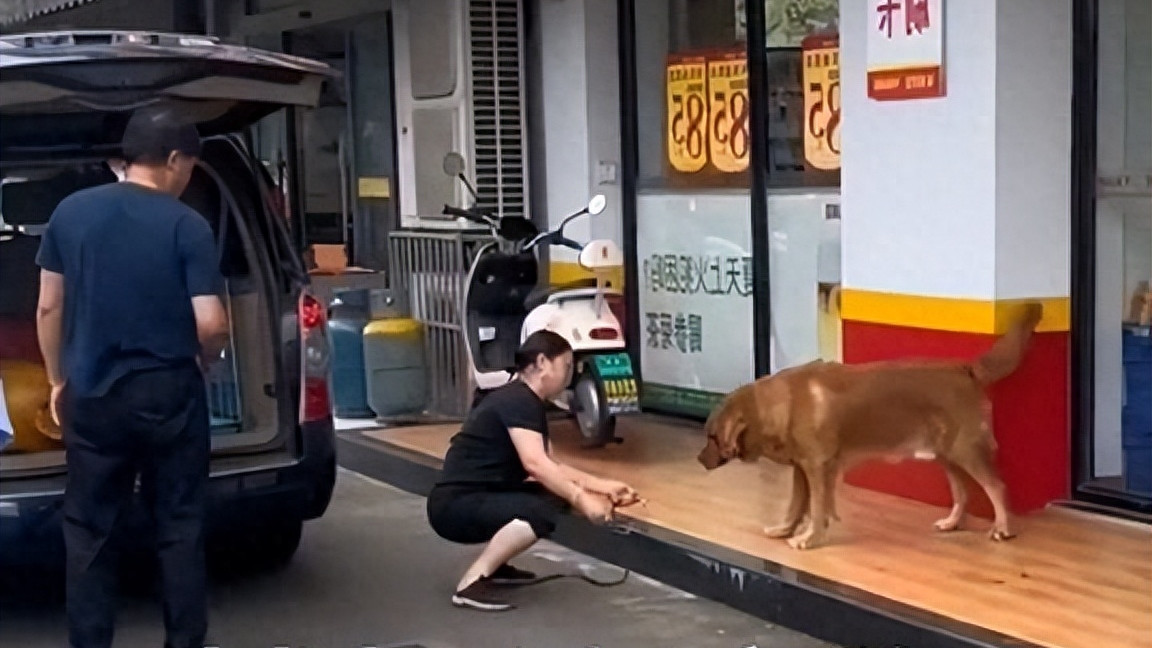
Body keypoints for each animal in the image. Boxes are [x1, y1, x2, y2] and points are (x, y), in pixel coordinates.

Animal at [695, 302, 1050, 544]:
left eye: (712, 437)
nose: (699, 460)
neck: (776, 407)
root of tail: (965, 368)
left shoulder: (818, 467)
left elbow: (817, 507)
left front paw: (810, 539)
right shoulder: (802, 469)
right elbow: (796, 505)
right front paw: (785, 530)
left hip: (966, 450)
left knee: (996, 487)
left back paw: (1003, 528)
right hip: (946, 455)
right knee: (962, 493)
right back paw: (952, 522)